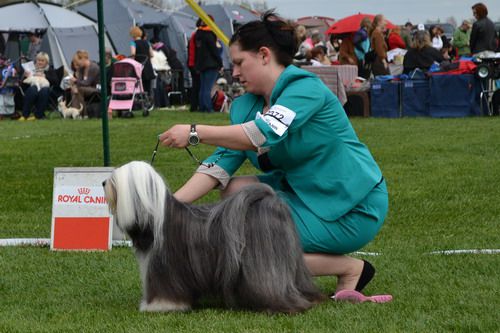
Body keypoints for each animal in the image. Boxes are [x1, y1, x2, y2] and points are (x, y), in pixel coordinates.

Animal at [104, 162, 324, 312]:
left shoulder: (165, 267)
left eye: (115, 181)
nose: (104, 181)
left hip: (265, 263)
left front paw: (160, 306)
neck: (157, 216)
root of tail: (270, 201)